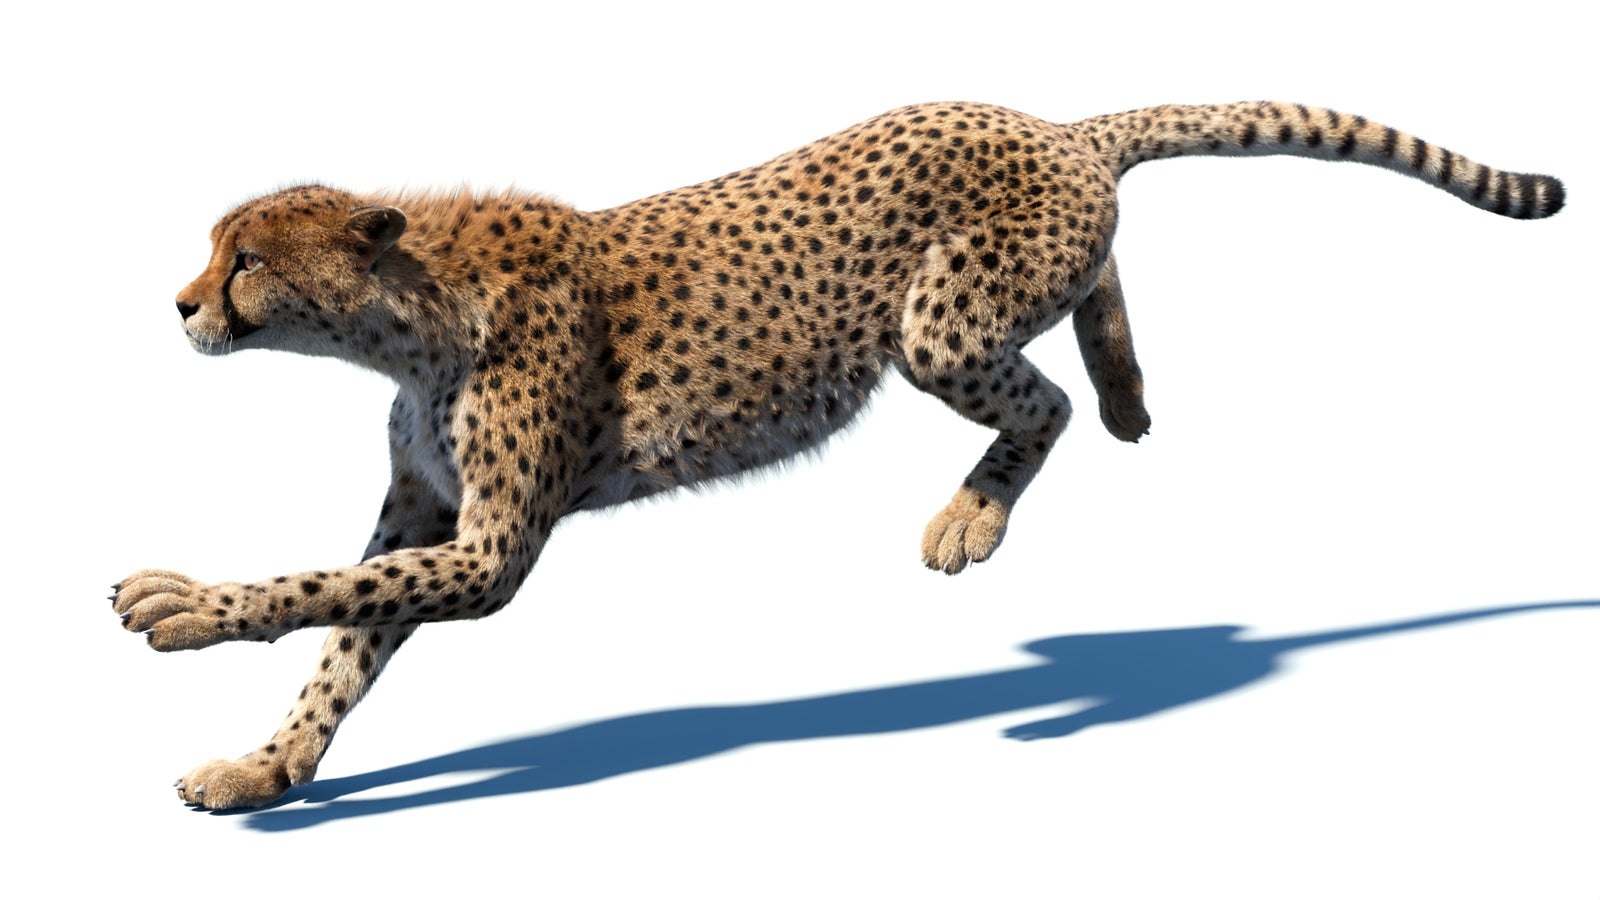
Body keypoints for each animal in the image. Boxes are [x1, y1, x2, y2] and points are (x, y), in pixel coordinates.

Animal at [111, 101, 1564, 809]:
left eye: (245, 262)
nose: (179, 305)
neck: (405, 322)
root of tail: (1053, 125)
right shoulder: (424, 515)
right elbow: (339, 651)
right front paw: (268, 768)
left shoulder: (483, 551)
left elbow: (311, 594)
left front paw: (184, 607)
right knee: (1101, 289)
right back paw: (1132, 391)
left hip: (937, 323)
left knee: (1040, 406)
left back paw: (978, 514)